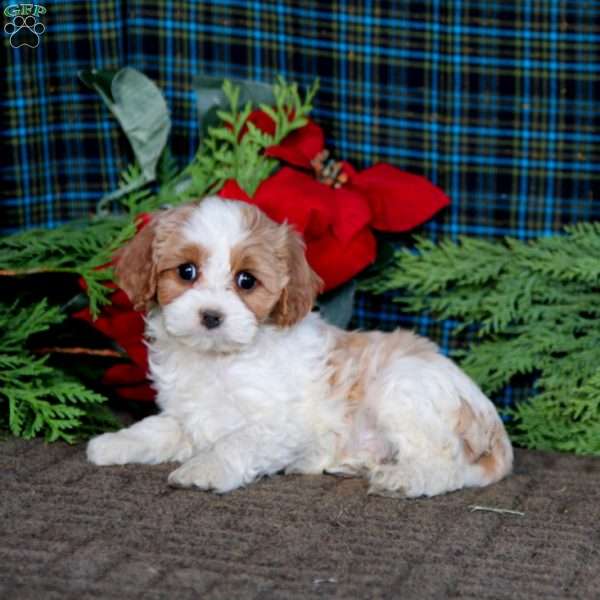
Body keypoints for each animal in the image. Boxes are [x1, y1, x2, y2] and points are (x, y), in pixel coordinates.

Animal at [88, 197, 510, 496]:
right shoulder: (188, 415)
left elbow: (236, 441)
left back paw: (402, 478)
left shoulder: (281, 424)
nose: (211, 316)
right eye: (186, 272)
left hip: (403, 389)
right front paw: (112, 444)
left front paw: (204, 469)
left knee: (443, 466)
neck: (219, 361)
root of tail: (493, 425)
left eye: (246, 280)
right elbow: (153, 429)